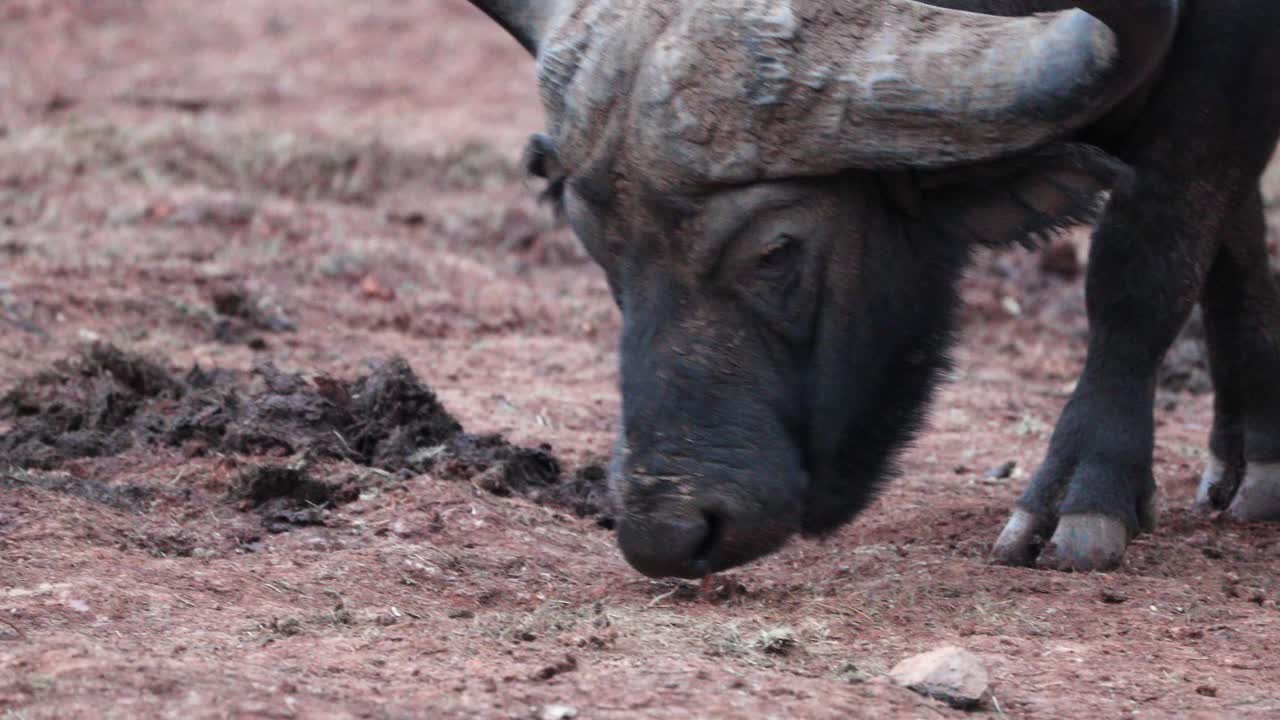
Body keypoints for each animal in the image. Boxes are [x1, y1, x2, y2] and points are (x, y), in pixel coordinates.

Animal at [465, 0, 1280, 577]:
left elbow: (1142, 267)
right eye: (596, 246)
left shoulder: (1219, 75)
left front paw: (1081, 498)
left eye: (778, 250)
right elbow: (1229, 232)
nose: (665, 534)